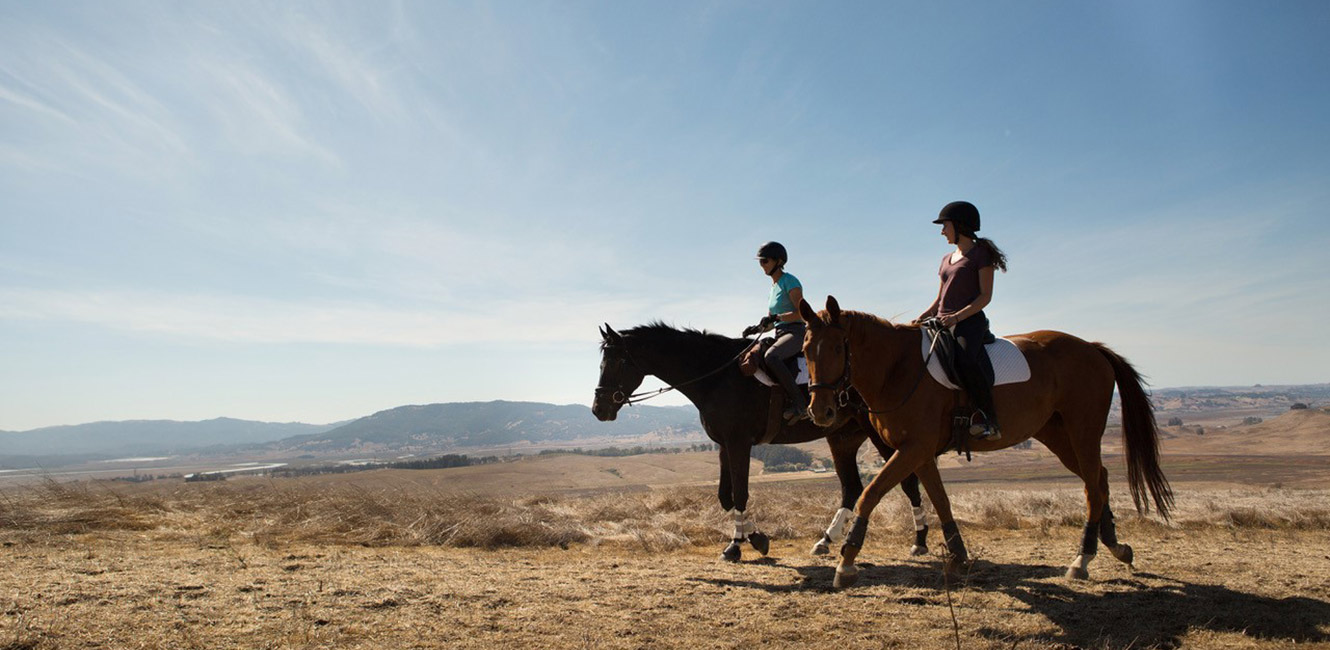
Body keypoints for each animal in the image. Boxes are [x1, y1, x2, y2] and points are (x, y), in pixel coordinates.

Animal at [593, 321, 925, 560]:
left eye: (616, 362)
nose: (599, 409)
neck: (716, 376)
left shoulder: (739, 442)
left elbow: (740, 494)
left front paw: (736, 545)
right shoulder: (724, 444)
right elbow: (726, 497)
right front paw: (756, 538)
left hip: (877, 434)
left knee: (907, 482)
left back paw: (920, 540)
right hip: (842, 437)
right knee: (852, 487)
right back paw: (825, 540)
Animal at [792, 296, 1170, 584]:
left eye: (838, 348)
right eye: (806, 350)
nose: (820, 410)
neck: (897, 369)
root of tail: (1093, 349)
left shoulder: (913, 449)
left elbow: (870, 494)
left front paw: (847, 559)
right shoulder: (919, 452)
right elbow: (940, 500)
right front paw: (959, 555)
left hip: (1083, 430)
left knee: (1093, 485)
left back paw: (1082, 559)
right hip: (1057, 435)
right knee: (1100, 480)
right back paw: (1116, 548)